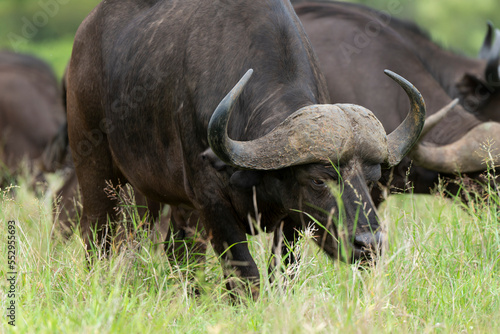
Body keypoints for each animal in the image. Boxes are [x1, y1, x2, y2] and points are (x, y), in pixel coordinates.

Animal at [66, 0, 426, 296]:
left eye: (371, 179)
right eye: (318, 179)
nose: (369, 245)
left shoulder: (290, 216)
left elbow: (282, 273)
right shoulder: (212, 201)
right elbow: (246, 275)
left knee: (180, 250)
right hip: (97, 171)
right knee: (98, 235)